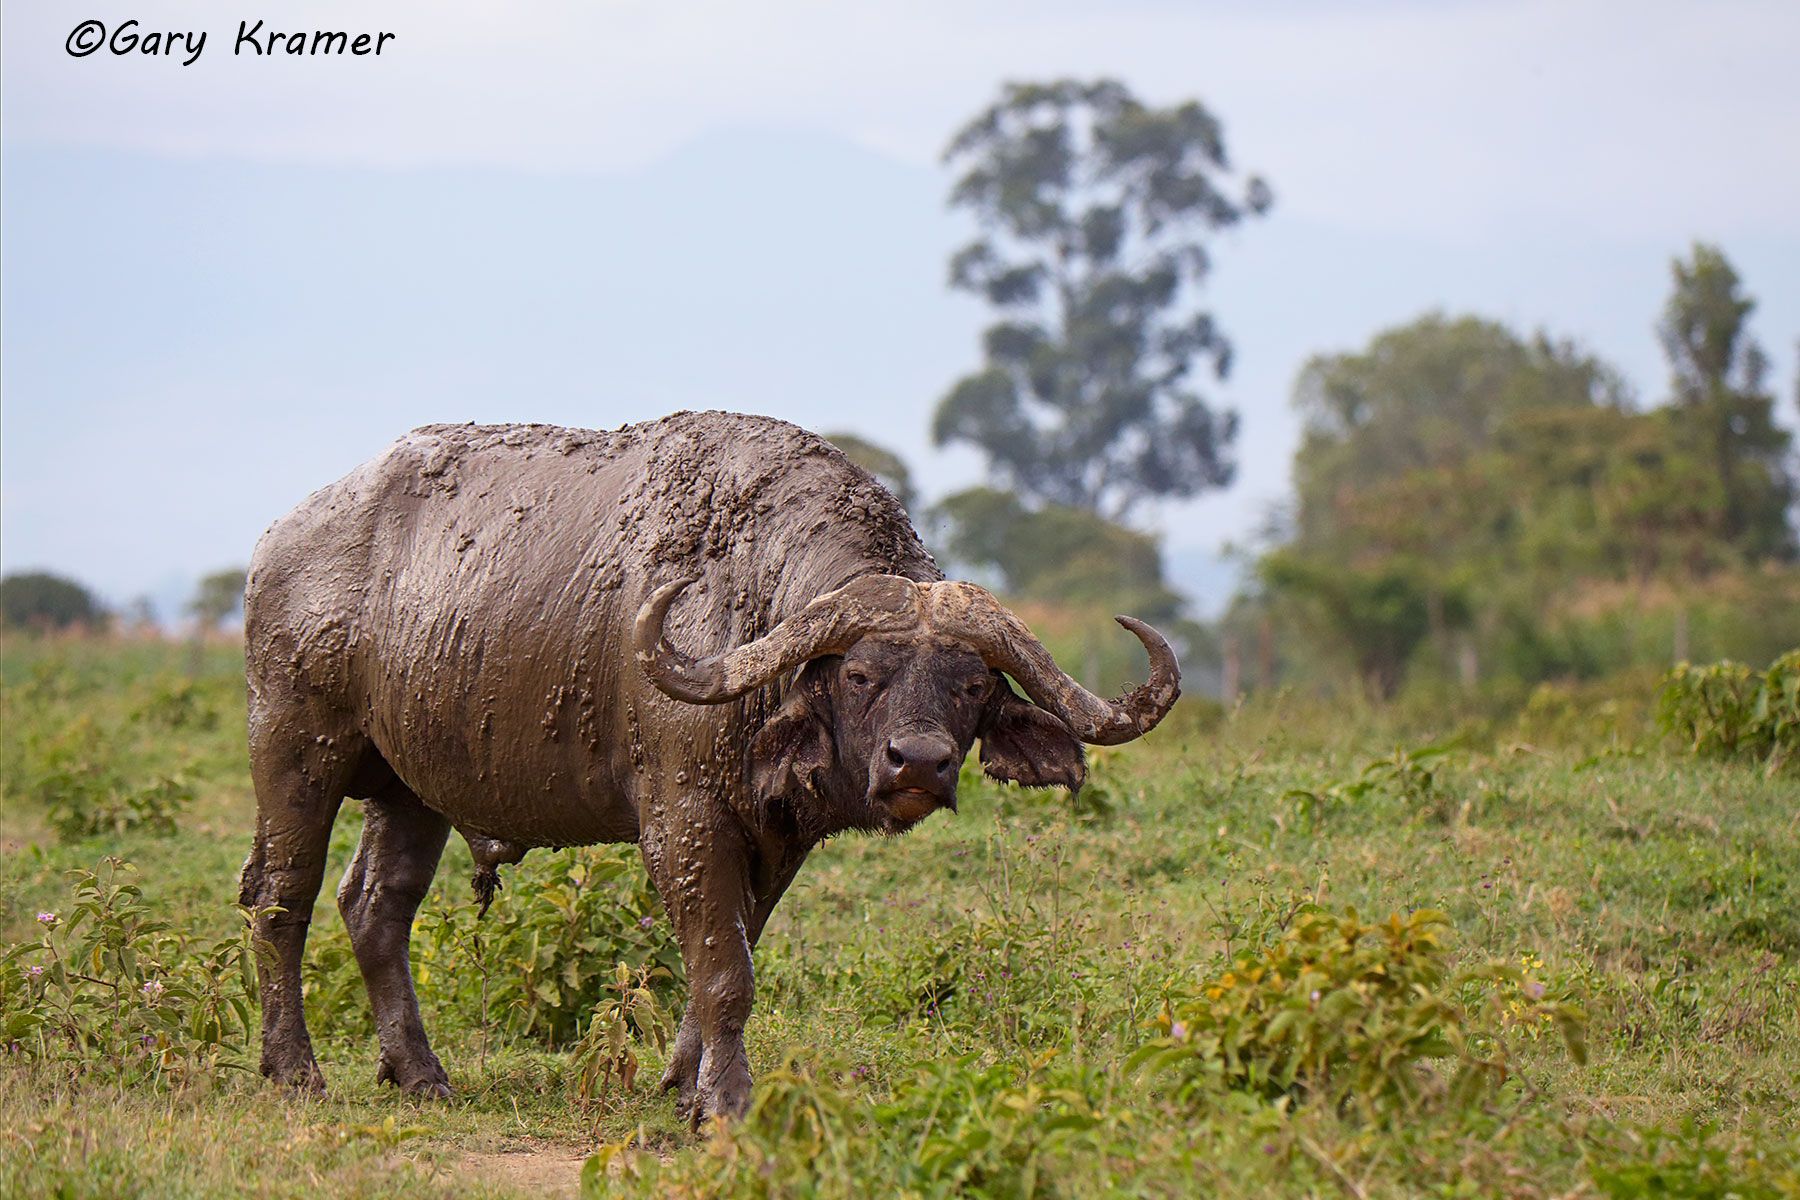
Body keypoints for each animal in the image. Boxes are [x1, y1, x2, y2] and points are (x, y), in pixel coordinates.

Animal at [239, 412, 1179, 1121]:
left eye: (974, 684)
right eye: (860, 674)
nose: (919, 763)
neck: (749, 602)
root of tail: (280, 541)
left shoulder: (780, 837)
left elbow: (728, 956)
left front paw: (683, 1085)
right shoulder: (682, 823)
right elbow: (724, 971)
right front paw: (725, 1101)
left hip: (409, 787)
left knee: (375, 907)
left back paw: (421, 1073)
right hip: (293, 747)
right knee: (280, 899)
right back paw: (296, 1071)